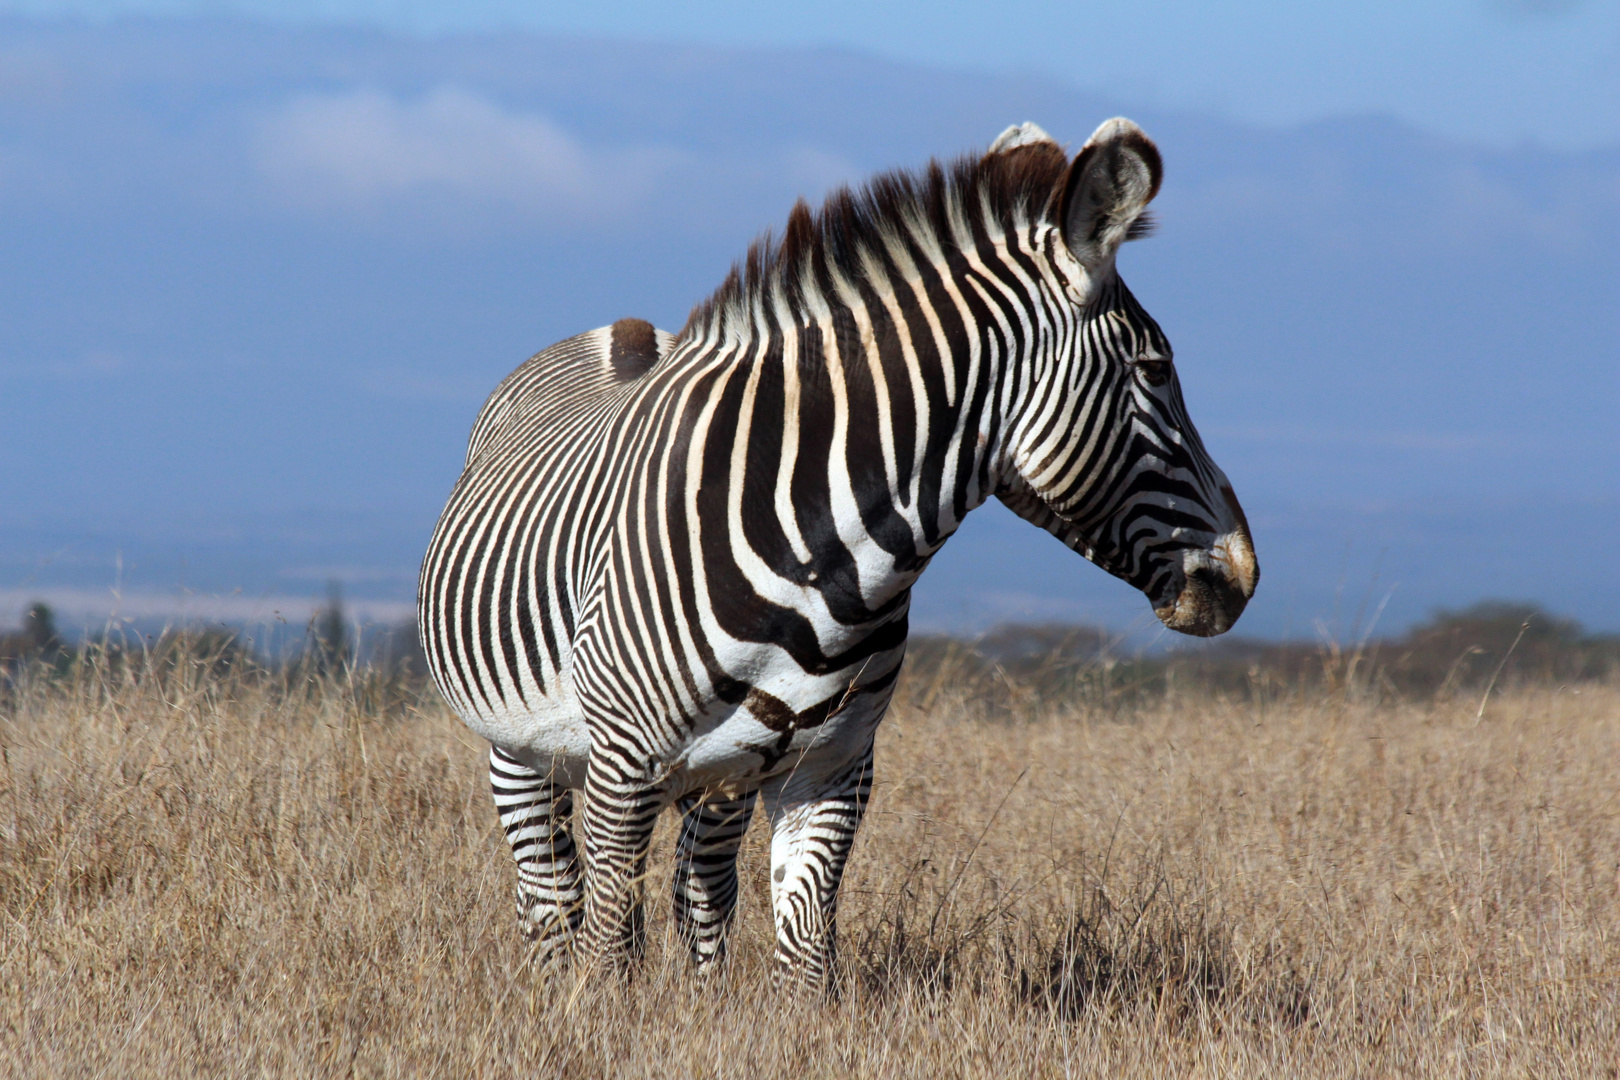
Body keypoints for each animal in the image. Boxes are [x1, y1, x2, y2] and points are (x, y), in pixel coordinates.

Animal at [414, 116, 1250, 990]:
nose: (1242, 574)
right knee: (551, 894)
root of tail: (624, 328)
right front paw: (598, 1012)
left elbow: (805, 959)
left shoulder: (833, 768)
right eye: (1156, 370)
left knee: (699, 884)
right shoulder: (622, 761)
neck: (823, 561)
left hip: (724, 774)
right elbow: (608, 945)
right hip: (520, 749)